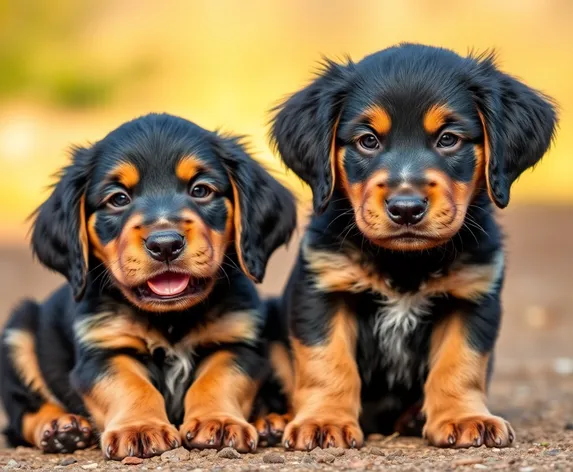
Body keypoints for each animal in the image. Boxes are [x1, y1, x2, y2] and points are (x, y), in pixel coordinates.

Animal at [0, 112, 294, 460]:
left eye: (201, 190)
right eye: (118, 198)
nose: (165, 244)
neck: (171, 319)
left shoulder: (238, 343)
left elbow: (217, 378)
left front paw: (218, 422)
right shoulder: (103, 350)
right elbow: (130, 384)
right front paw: (140, 428)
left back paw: (272, 422)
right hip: (19, 331)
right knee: (22, 415)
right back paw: (61, 429)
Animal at [270, 43, 556, 450]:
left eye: (448, 139)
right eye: (368, 140)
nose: (406, 208)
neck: (405, 263)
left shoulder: (471, 297)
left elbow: (460, 363)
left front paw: (464, 417)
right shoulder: (324, 290)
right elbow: (327, 362)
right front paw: (324, 421)